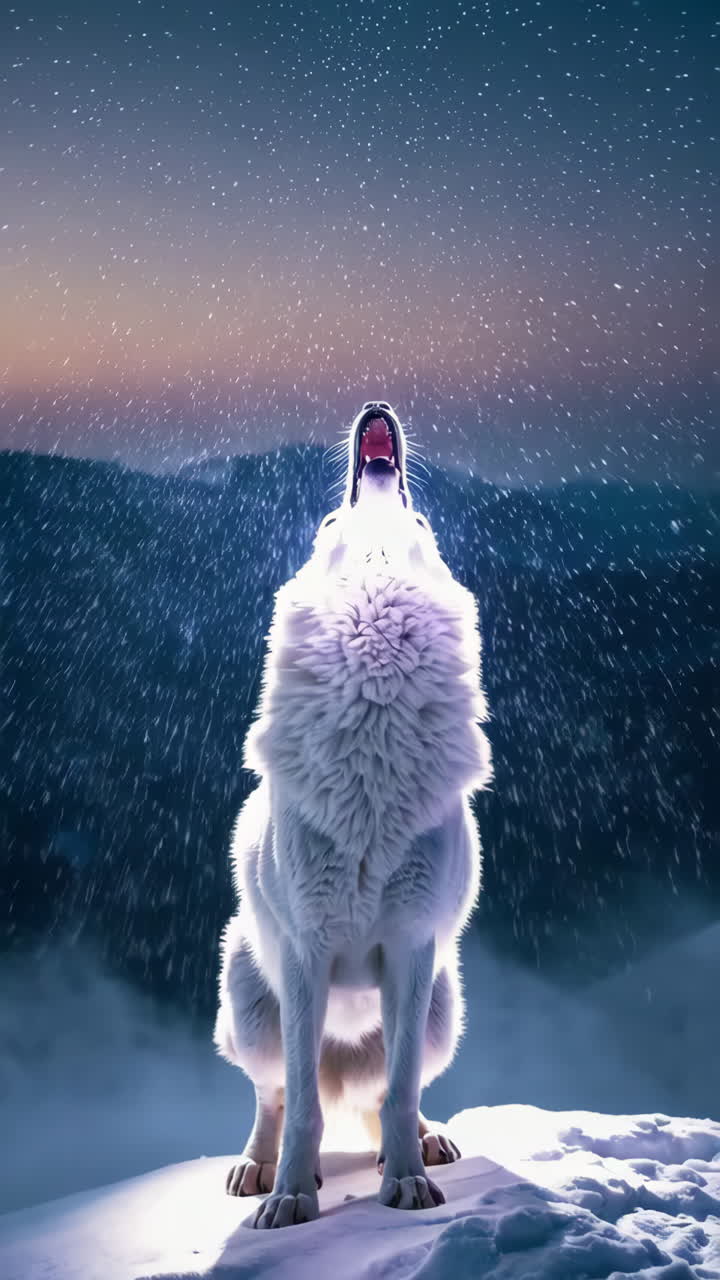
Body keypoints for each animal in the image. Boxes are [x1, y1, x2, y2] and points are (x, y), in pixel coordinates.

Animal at [214, 402, 492, 1228]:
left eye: (419, 520)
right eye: (332, 519)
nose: (377, 409)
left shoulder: (410, 945)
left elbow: (398, 1092)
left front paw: (405, 1184)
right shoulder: (305, 955)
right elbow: (305, 1105)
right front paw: (291, 1199)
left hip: (441, 1009)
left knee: (387, 1091)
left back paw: (423, 1145)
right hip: (251, 1004)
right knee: (276, 1093)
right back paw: (259, 1168)